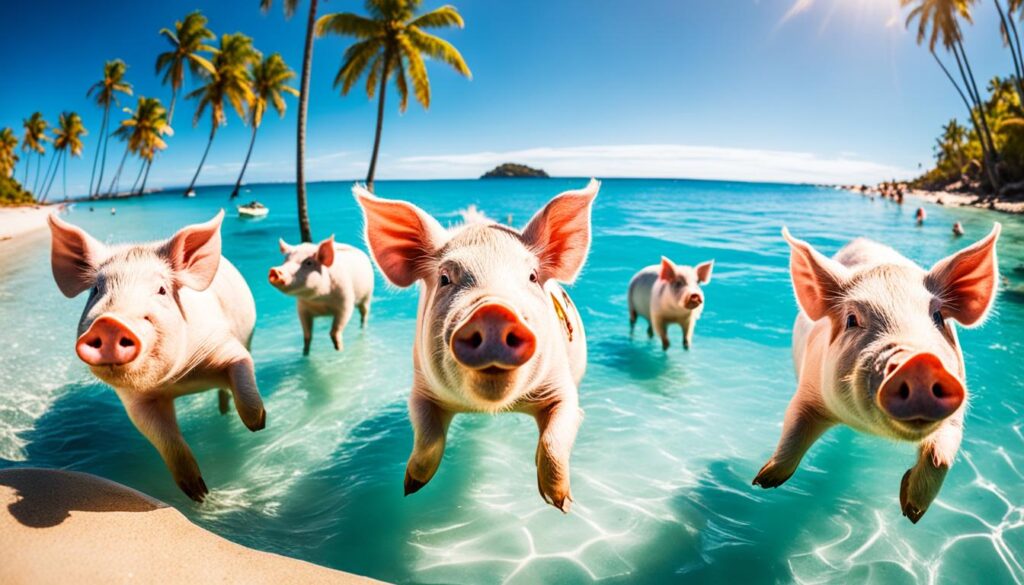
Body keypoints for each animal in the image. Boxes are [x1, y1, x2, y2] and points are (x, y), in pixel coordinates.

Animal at [48, 210, 266, 503]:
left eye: (161, 290)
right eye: (96, 291)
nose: (109, 323)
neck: (180, 383)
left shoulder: (224, 344)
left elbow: (243, 370)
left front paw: (258, 425)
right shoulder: (136, 401)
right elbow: (163, 438)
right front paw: (198, 494)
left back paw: (225, 412)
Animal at [353, 180, 598, 512]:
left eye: (532, 276)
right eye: (445, 278)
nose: (493, 311)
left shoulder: (562, 386)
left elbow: (555, 437)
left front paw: (560, 503)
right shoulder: (420, 388)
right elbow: (428, 438)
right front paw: (410, 486)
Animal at [753, 224, 1001, 523]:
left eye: (938, 317)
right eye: (852, 319)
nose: (920, 362)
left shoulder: (956, 410)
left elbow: (941, 455)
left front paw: (911, 513)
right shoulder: (810, 389)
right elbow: (794, 427)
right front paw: (762, 481)